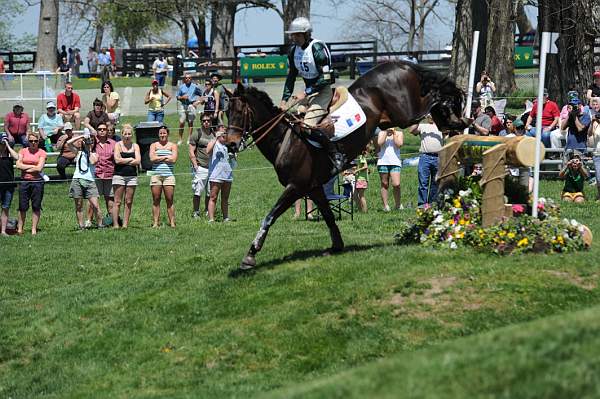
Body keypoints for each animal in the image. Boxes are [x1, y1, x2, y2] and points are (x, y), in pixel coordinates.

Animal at [225, 60, 468, 272]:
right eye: (225, 113)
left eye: (239, 113)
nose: (230, 144)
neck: (284, 140)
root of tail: (400, 64)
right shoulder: (313, 188)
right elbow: (329, 216)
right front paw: (337, 246)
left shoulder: (296, 186)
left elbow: (270, 216)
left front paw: (250, 255)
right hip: (391, 118)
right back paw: (453, 121)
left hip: (405, 112)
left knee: (433, 99)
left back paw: (455, 114)